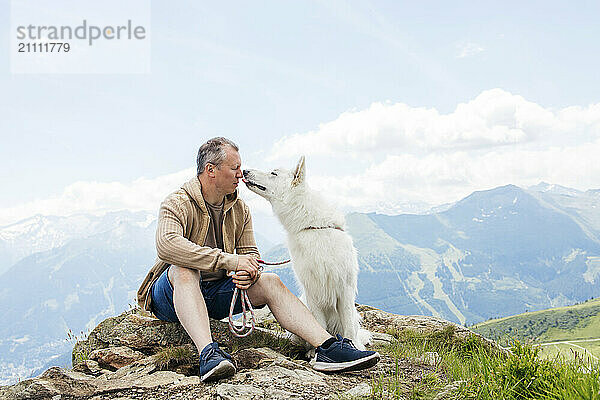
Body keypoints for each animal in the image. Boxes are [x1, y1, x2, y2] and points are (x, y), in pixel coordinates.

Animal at [243, 156, 370, 350]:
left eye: (274, 173)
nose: (244, 171)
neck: (313, 226)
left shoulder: (345, 289)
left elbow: (348, 326)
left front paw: (353, 346)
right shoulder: (312, 290)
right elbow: (318, 323)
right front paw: (314, 351)